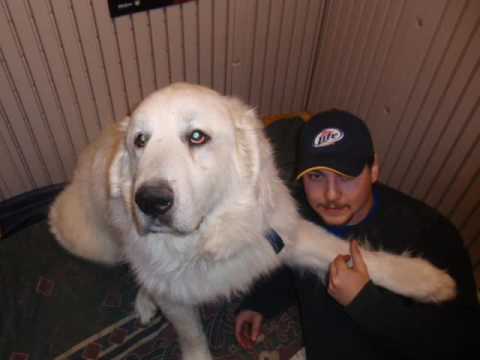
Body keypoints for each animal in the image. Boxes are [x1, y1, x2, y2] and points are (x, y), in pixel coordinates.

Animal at [49, 82, 458, 360]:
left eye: (196, 136)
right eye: (140, 141)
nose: (150, 201)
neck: (208, 239)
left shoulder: (284, 236)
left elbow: (347, 252)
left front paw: (427, 281)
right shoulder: (179, 302)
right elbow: (191, 336)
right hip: (91, 241)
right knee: (131, 262)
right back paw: (145, 297)